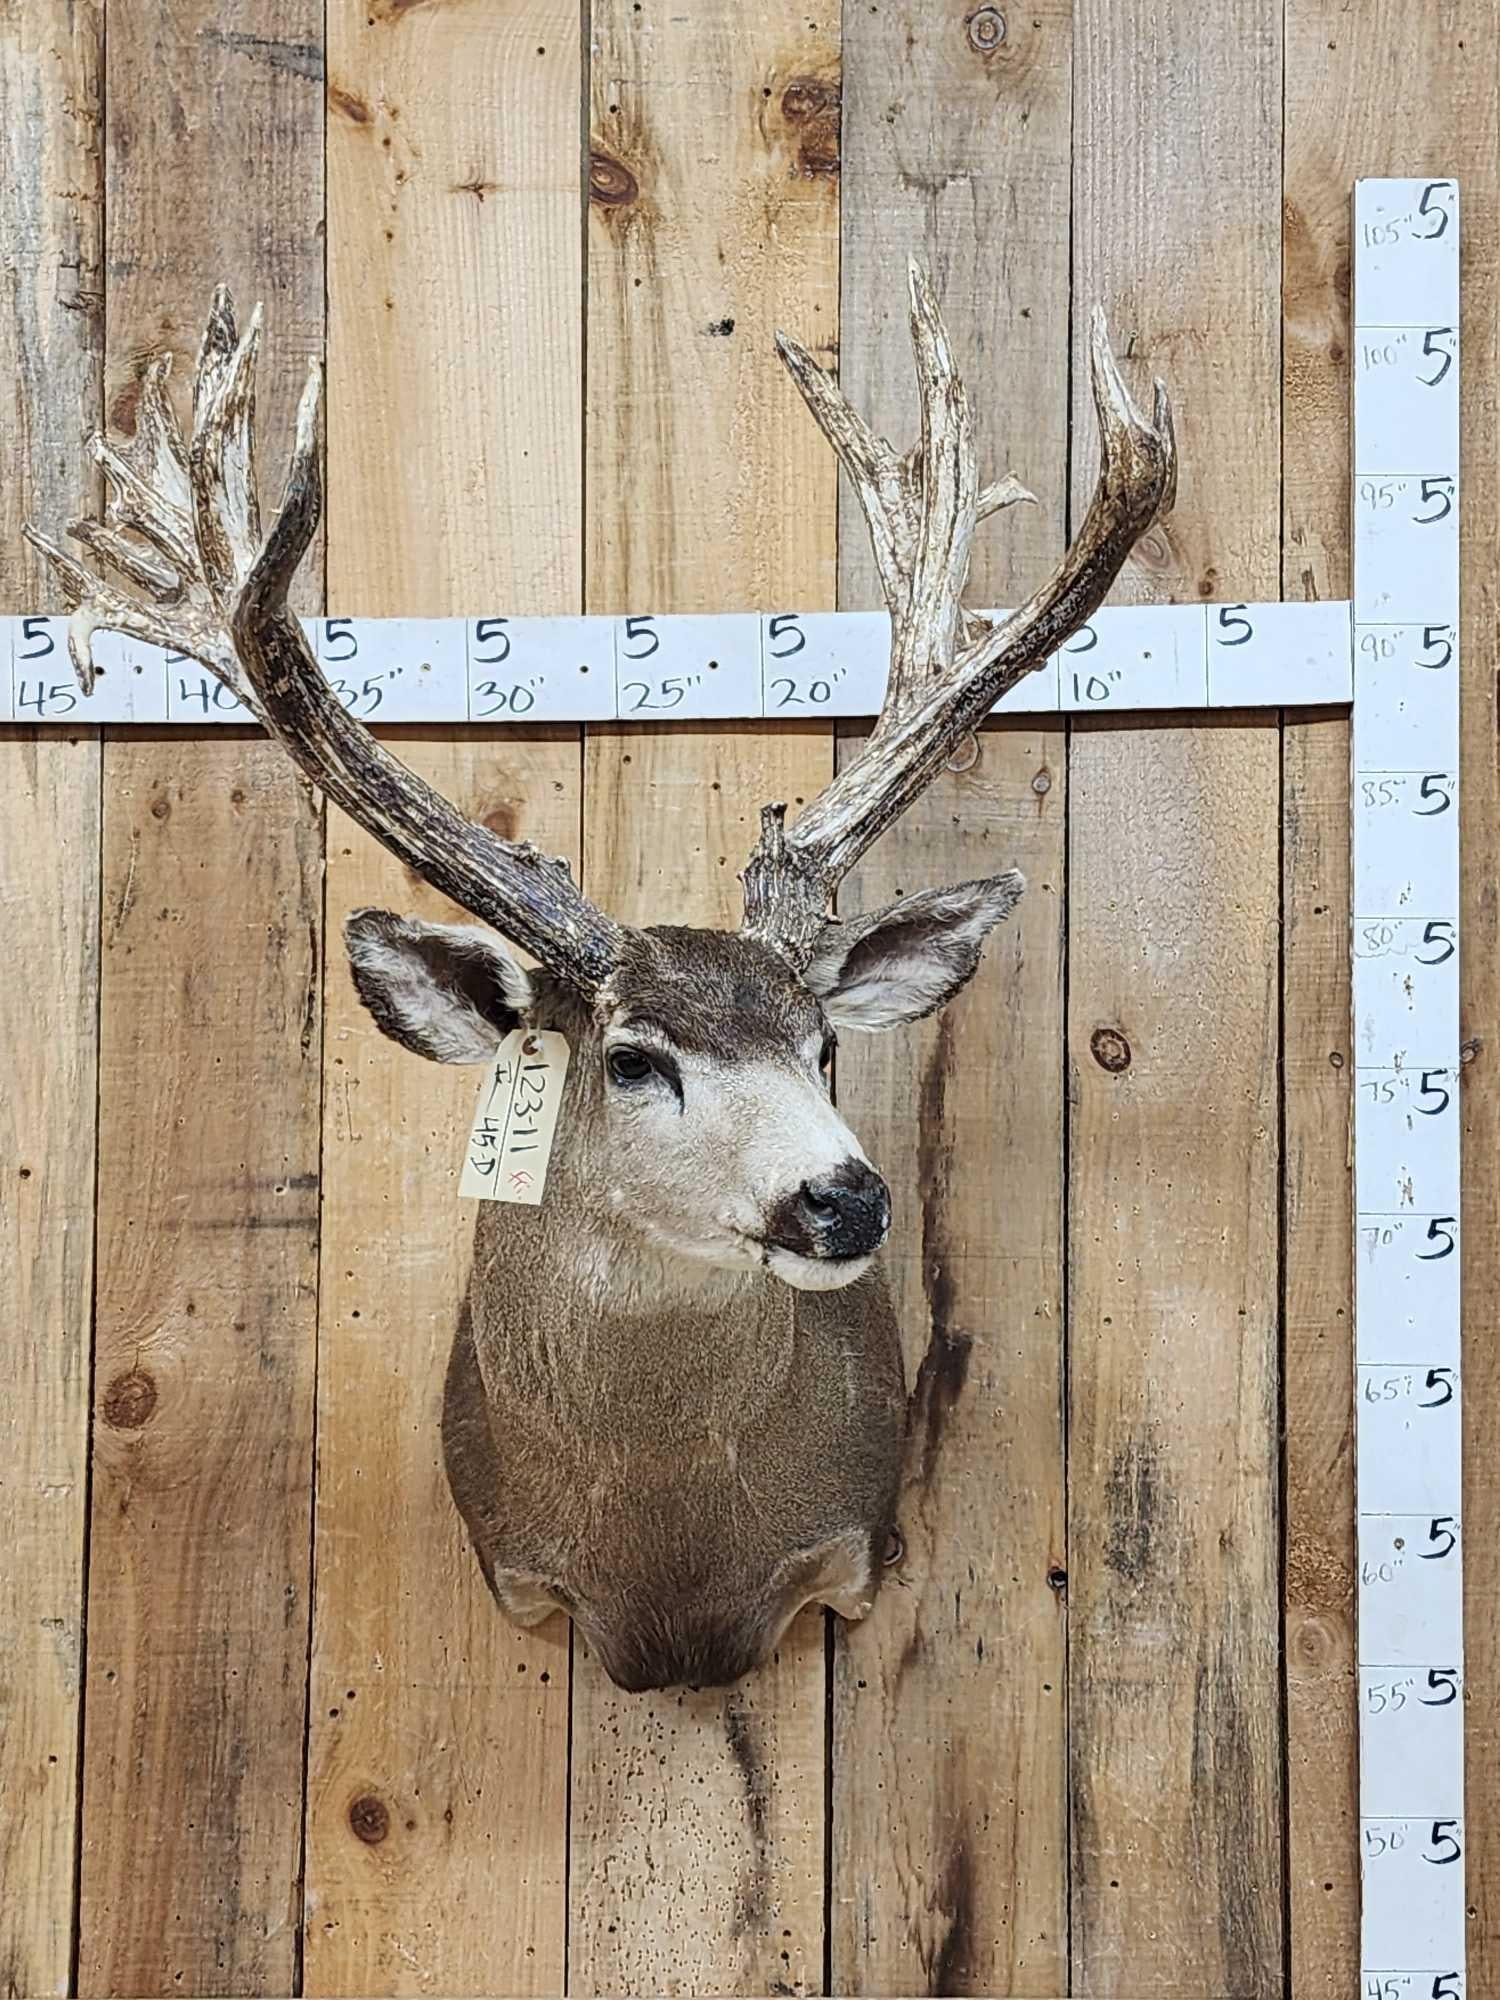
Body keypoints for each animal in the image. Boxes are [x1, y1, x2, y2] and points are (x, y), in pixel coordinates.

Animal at [28, 271, 1175, 1693]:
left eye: (823, 1045)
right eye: (632, 1056)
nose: (845, 1197)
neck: (669, 1572)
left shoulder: (849, 1543)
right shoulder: (516, 1564)